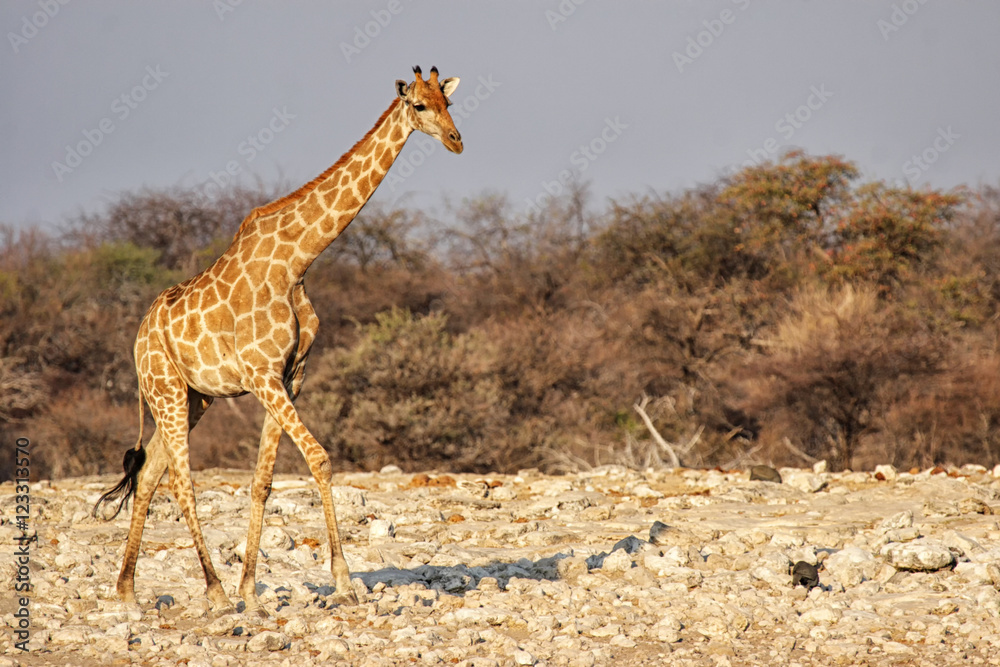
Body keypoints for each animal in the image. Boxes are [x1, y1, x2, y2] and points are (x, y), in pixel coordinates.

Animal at [94, 66, 463, 612]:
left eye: (449, 103)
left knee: (150, 470)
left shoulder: (290, 376)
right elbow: (320, 459)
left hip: (193, 396)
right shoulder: (262, 374)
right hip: (165, 390)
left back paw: (128, 591)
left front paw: (251, 589)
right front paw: (342, 582)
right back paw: (213, 590)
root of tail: (138, 340)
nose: (457, 141)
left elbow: (262, 481)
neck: (297, 261)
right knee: (180, 479)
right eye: (419, 106)